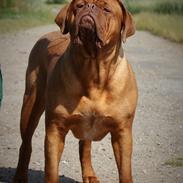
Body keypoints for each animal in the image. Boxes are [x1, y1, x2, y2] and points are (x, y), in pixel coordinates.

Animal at [13, 0, 137, 182]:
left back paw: (89, 175)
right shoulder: (55, 129)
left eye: (106, 9)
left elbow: (126, 172)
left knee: (85, 147)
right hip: (30, 105)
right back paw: (20, 176)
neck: (93, 70)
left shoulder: (122, 132)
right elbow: (51, 170)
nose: (90, 7)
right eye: (79, 5)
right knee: (26, 143)